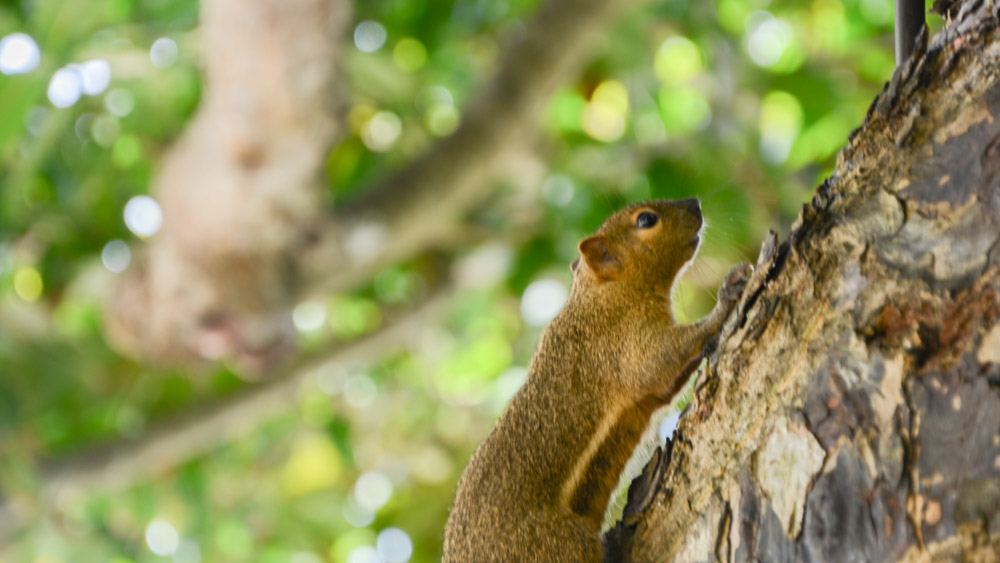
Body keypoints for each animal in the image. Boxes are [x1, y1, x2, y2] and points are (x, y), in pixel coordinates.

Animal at [442, 199, 748, 563]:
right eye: (646, 220)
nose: (695, 203)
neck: (602, 295)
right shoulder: (618, 345)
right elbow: (659, 359)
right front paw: (726, 299)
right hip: (557, 544)